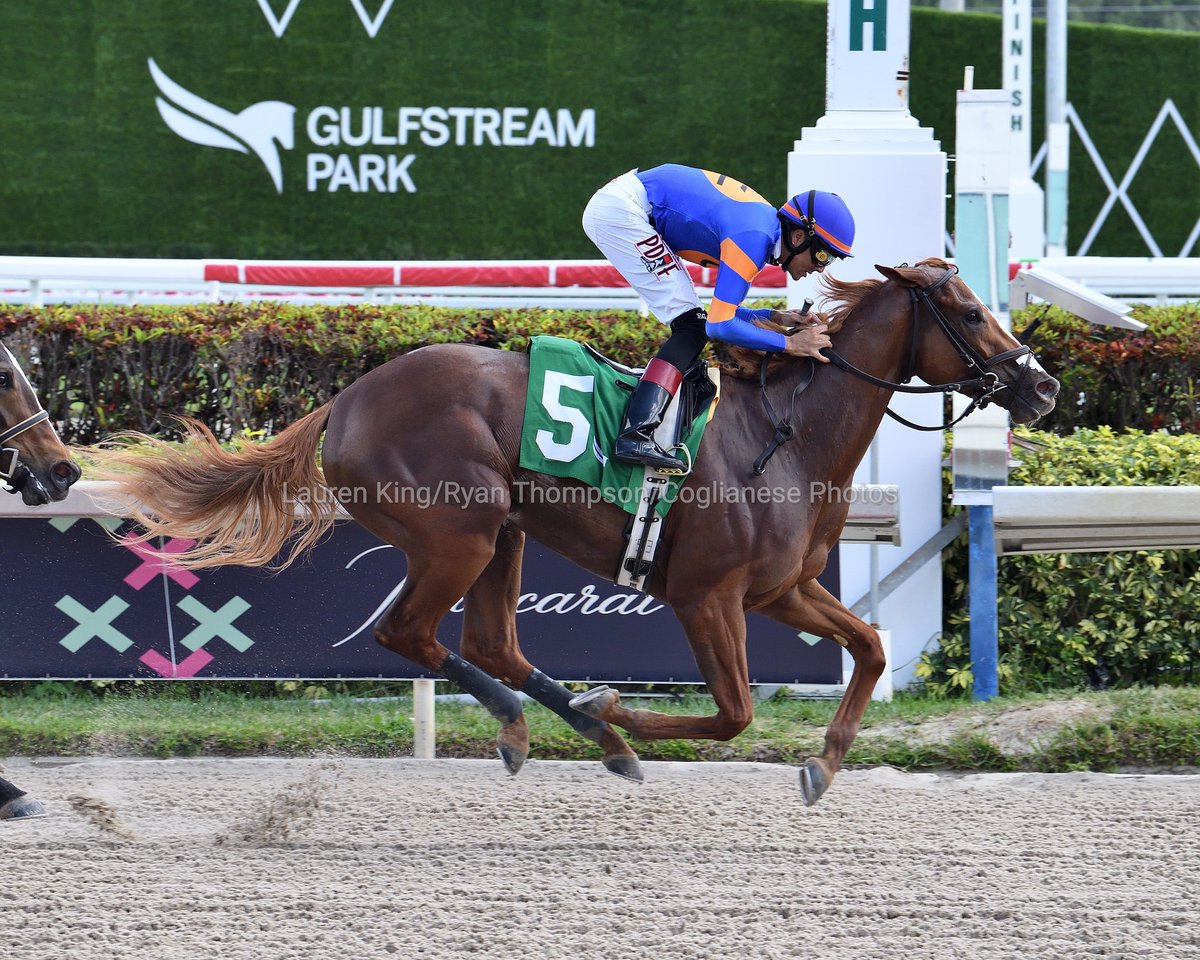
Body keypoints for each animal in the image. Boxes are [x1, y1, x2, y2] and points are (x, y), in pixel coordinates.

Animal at [103, 260, 1060, 801]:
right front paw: (623, 708)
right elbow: (735, 713)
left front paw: (825, 762)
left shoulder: (783, 590)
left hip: (504, 534)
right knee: (409, 632)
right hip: (459, 534)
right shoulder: (706, 595)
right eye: (968, 313)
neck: (786, 435)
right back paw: (547, 727)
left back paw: (589, 736)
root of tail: (345, 400)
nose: (1042, 385)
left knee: (489, 643)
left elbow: (867, 646)